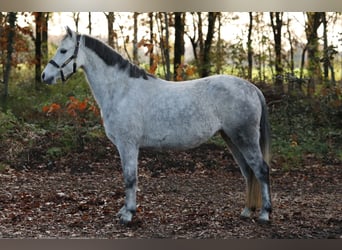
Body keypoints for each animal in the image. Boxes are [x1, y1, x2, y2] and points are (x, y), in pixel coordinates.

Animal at [41, 27, 272, 225]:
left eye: (63, 50)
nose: (45, 76)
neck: (121, 90)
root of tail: (252, 88)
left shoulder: (128, 145)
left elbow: (130, 178)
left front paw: (128, 214)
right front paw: (125, 211)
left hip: (244, 138)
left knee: (261, 170)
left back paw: (265, 214)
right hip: (231, 138)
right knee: (248, 172)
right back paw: (246, 211)